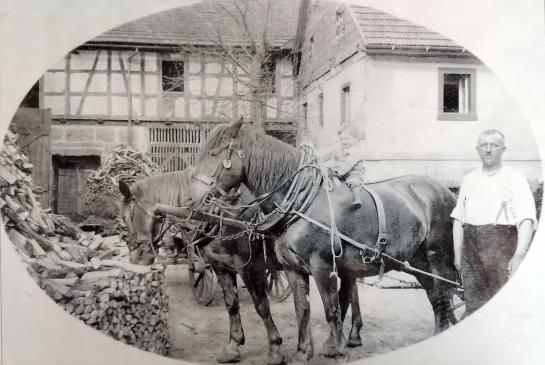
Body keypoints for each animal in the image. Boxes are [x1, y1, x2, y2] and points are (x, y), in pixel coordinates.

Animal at [117, 169, 364, 362]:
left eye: (128, 216)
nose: (135, 257)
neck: (217, 214)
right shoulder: (220, 267)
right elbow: (231, 305)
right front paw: (233, 346)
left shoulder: (249, 268)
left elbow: (261, 306)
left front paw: (275, 349)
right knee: (351, 290)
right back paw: (351, 335)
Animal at [186, 119, 460, 362]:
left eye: (214, 153)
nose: (190, 199)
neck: (302, 205)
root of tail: (446, 191)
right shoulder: (290, 269)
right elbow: (301, 308)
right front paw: (302, 352)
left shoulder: (319, 267)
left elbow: (329, 310)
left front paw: (337, 352)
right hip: (417, 259)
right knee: (435, 294)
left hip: (438, 257)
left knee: (444, 292)